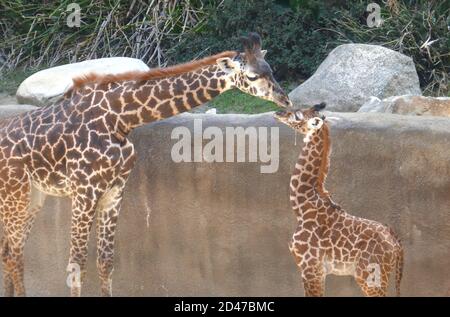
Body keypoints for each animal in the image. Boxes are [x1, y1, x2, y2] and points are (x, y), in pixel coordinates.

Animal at [0, 32, 292, 296]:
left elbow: (105, 261)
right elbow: (77, 264)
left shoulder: (114, 190)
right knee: (13, 253)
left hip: (33, 197)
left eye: (271, 70)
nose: (285, 99)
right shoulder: (84, 192)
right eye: (252, 76)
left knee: (11, 251)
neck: (120, 119)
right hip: (17, 196)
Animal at [274, 103, 404, 296]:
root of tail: (396, 244)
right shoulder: (317, 271)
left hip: (370, 277)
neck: (303, 206)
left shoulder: (311, 268)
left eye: (298, 115)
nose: (278, 112)